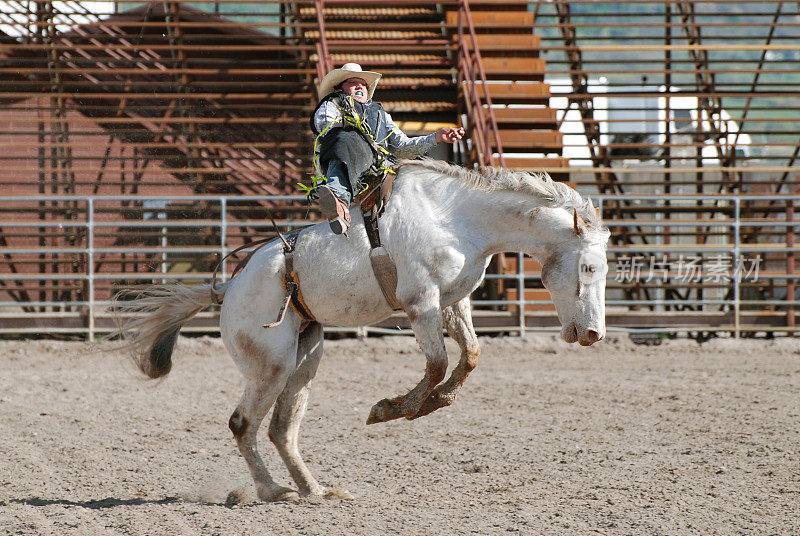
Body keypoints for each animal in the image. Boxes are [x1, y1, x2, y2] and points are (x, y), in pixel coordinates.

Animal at [112, 159, 608, 502]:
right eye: (588, 266)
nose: (594, 335)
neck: (455, 218)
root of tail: (227, 288)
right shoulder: (420, 303)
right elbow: (436, 363)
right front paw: (392, 409)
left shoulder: (452, 302)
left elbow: (469, 356)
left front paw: (436, 401)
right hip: (270, 366)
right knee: (243, 424)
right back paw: (273, 492)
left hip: (305, 358)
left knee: (280, 430)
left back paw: (315, 491)